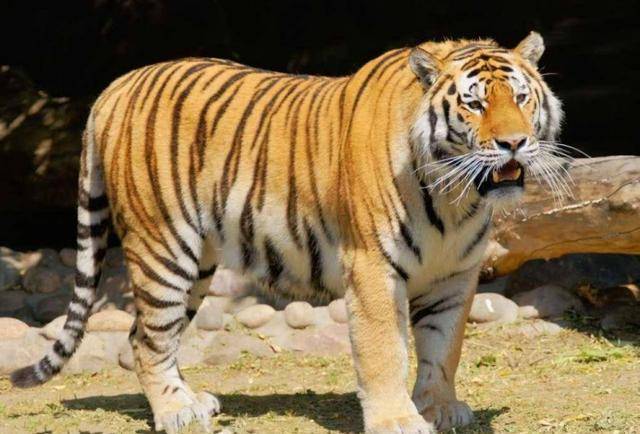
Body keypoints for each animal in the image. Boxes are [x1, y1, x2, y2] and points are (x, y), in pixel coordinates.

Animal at [11, 31, 566, 433]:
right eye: (474, 104)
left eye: (521, 98)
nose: (514, 143)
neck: (456, 197)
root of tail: (116, 85)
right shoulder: (372, 267)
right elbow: (385, 350)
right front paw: (398, 421)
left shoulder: (455, 273)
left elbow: (444, 347)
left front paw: (440, 408)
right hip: (163, 247)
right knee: (148, 339)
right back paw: (174, 412)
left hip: (197, 263)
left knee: (143, 333)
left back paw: (193, 400)